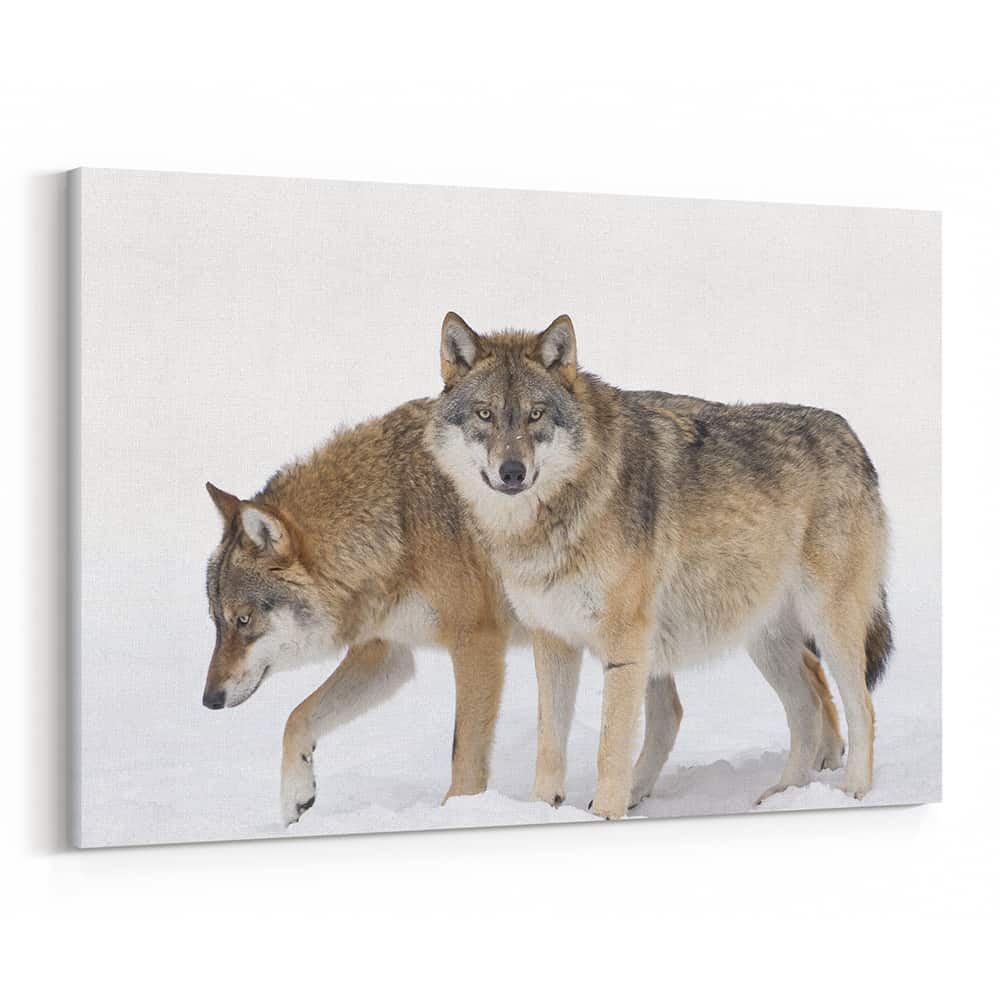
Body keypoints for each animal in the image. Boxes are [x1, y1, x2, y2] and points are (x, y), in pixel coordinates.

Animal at [428, 312, 891, 818]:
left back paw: (853, 791)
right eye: (485, 414)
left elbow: (610, 749)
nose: (512, 472)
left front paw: (605, 814)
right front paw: (541, 809)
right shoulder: (552, 640)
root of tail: (852, 437)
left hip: (829, 625)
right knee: (805, 707)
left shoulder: (624, 643)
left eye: (536, 414)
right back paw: (783, 794)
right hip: (764, 640)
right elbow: (550, 742)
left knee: (862, 707)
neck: (552, 520)